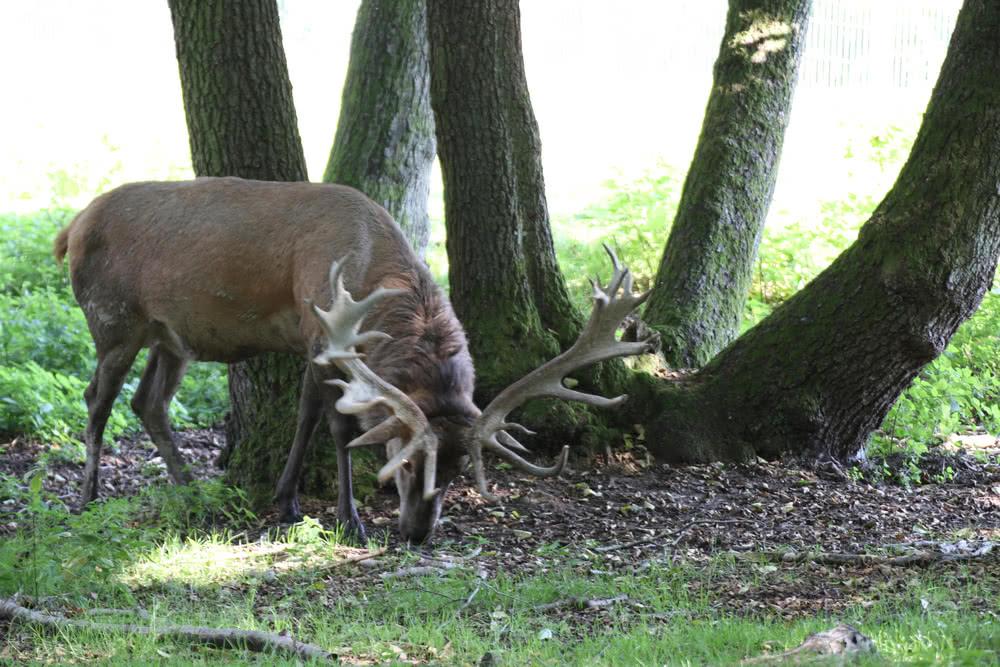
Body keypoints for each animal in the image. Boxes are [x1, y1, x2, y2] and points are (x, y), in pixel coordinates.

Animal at [52, 176, 656, 544]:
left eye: (459, 472)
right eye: (406, 463)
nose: (417, 534)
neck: (374, 276)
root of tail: (71, 226)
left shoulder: (311, 343)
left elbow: (305, 416)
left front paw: (287, 500)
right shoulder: (322, 330)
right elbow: (340, 427)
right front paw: (349, 520)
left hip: (170, 335)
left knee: (148, 403)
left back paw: (194, 494)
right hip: (112, 317)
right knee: (96, 399)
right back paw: (86, 498)